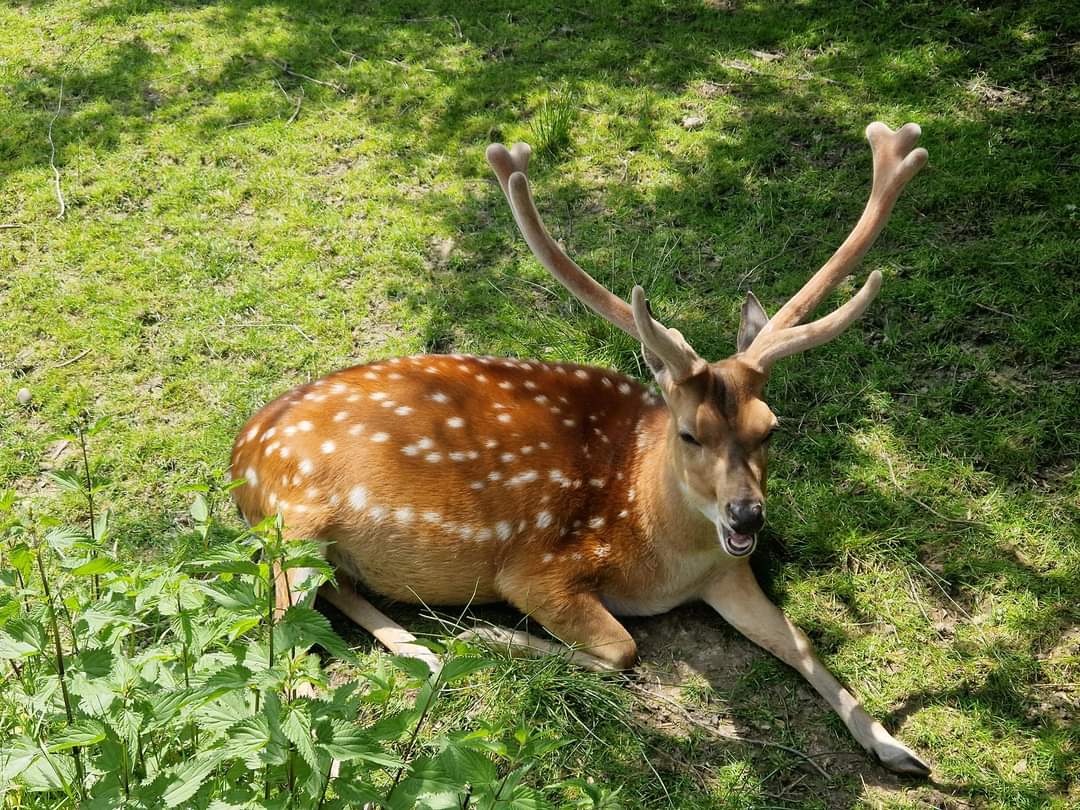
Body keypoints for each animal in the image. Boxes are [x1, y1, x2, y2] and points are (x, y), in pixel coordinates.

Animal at [230, 122, 930, 776]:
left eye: (771, 428)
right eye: (689, 432)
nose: (747, 516)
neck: (663, 555)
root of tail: (239, 450)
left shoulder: (728, 573)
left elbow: (804, 645)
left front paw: (898, 749)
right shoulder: (537, 567)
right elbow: (624, 649)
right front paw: (491, 635)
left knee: (332, 596)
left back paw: (419, 649)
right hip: (294, 522)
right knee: (279, 636)